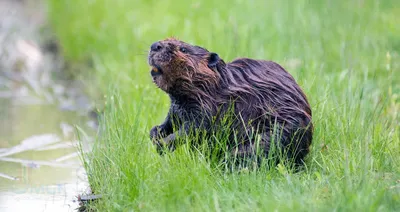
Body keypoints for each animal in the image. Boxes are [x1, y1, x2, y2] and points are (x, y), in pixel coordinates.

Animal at [147, 37, 312, 166]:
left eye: (183, 49)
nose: (155, 45)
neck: (215, 84)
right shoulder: (177, 106)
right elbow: (171, 120)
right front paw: (155, 133)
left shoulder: (210, 106)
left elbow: (195, 129)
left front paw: (161, 144)